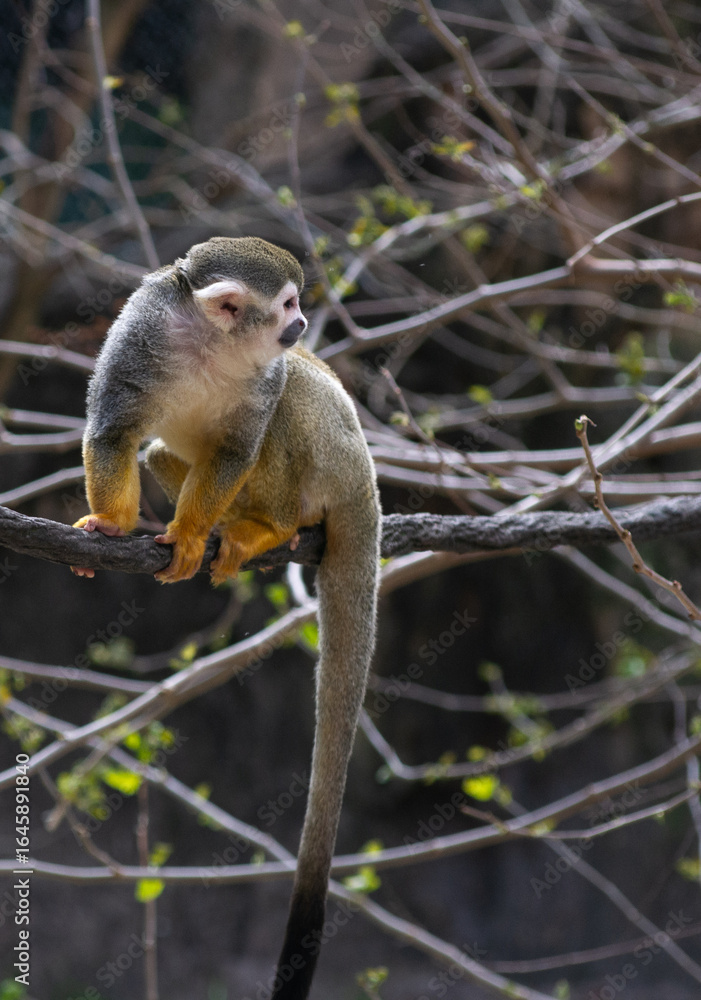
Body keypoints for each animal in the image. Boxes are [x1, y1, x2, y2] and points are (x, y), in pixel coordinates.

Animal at [72, 236, 380, 999]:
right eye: (290, 303)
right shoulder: (142, 328)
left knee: (296, 393)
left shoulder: (261, 379)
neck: (213, 345)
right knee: (161, 447)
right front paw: (113, 524)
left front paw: (186, 536)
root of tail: (365, 472)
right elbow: (116, 430)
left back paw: (267, 527)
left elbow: (242, 444)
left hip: (330, 459)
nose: (302, 326)